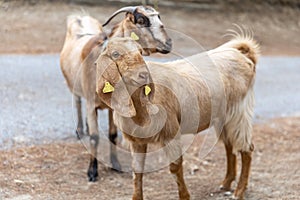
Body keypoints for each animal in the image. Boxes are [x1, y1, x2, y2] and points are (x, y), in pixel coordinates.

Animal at [59, 5, 172, 181]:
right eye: (141, 20)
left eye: (159, 17)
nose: (168, 43)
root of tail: (80, 18)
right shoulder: (91, 104)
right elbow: (95, 137)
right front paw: (92, 172)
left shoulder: (115, 107)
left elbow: (113, 135)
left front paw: (115, 164)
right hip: (73, 85)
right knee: (77, 102)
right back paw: (80, 129)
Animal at [96, 36, 260, 200]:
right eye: (115, 54)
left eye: (141, 52)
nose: (143, 75)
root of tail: (242, 55)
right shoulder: (137, 141)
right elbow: (137, 170)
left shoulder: (171, 133)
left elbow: (175, 167)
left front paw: (185, 196)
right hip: (223, 116)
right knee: (229, 145)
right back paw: (226, 183)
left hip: (239, 111)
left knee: (247, 148)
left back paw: (239, 191)